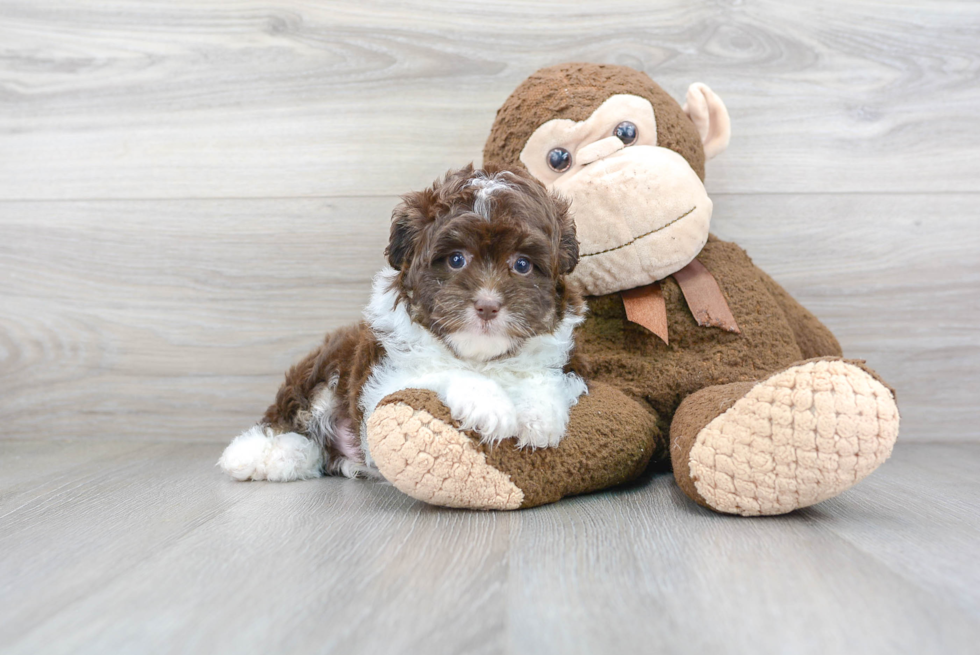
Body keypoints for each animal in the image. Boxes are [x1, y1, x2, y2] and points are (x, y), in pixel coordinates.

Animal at [218, 164, 584, 482]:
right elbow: (440, 371)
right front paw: (489, 404)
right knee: (292, 419)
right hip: (324, 371)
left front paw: (540, 413)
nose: (488, 306)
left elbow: (539, 376)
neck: (480, 358)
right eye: (456, 259)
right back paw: (258, 454)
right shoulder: (382, 385)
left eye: (522, 265)